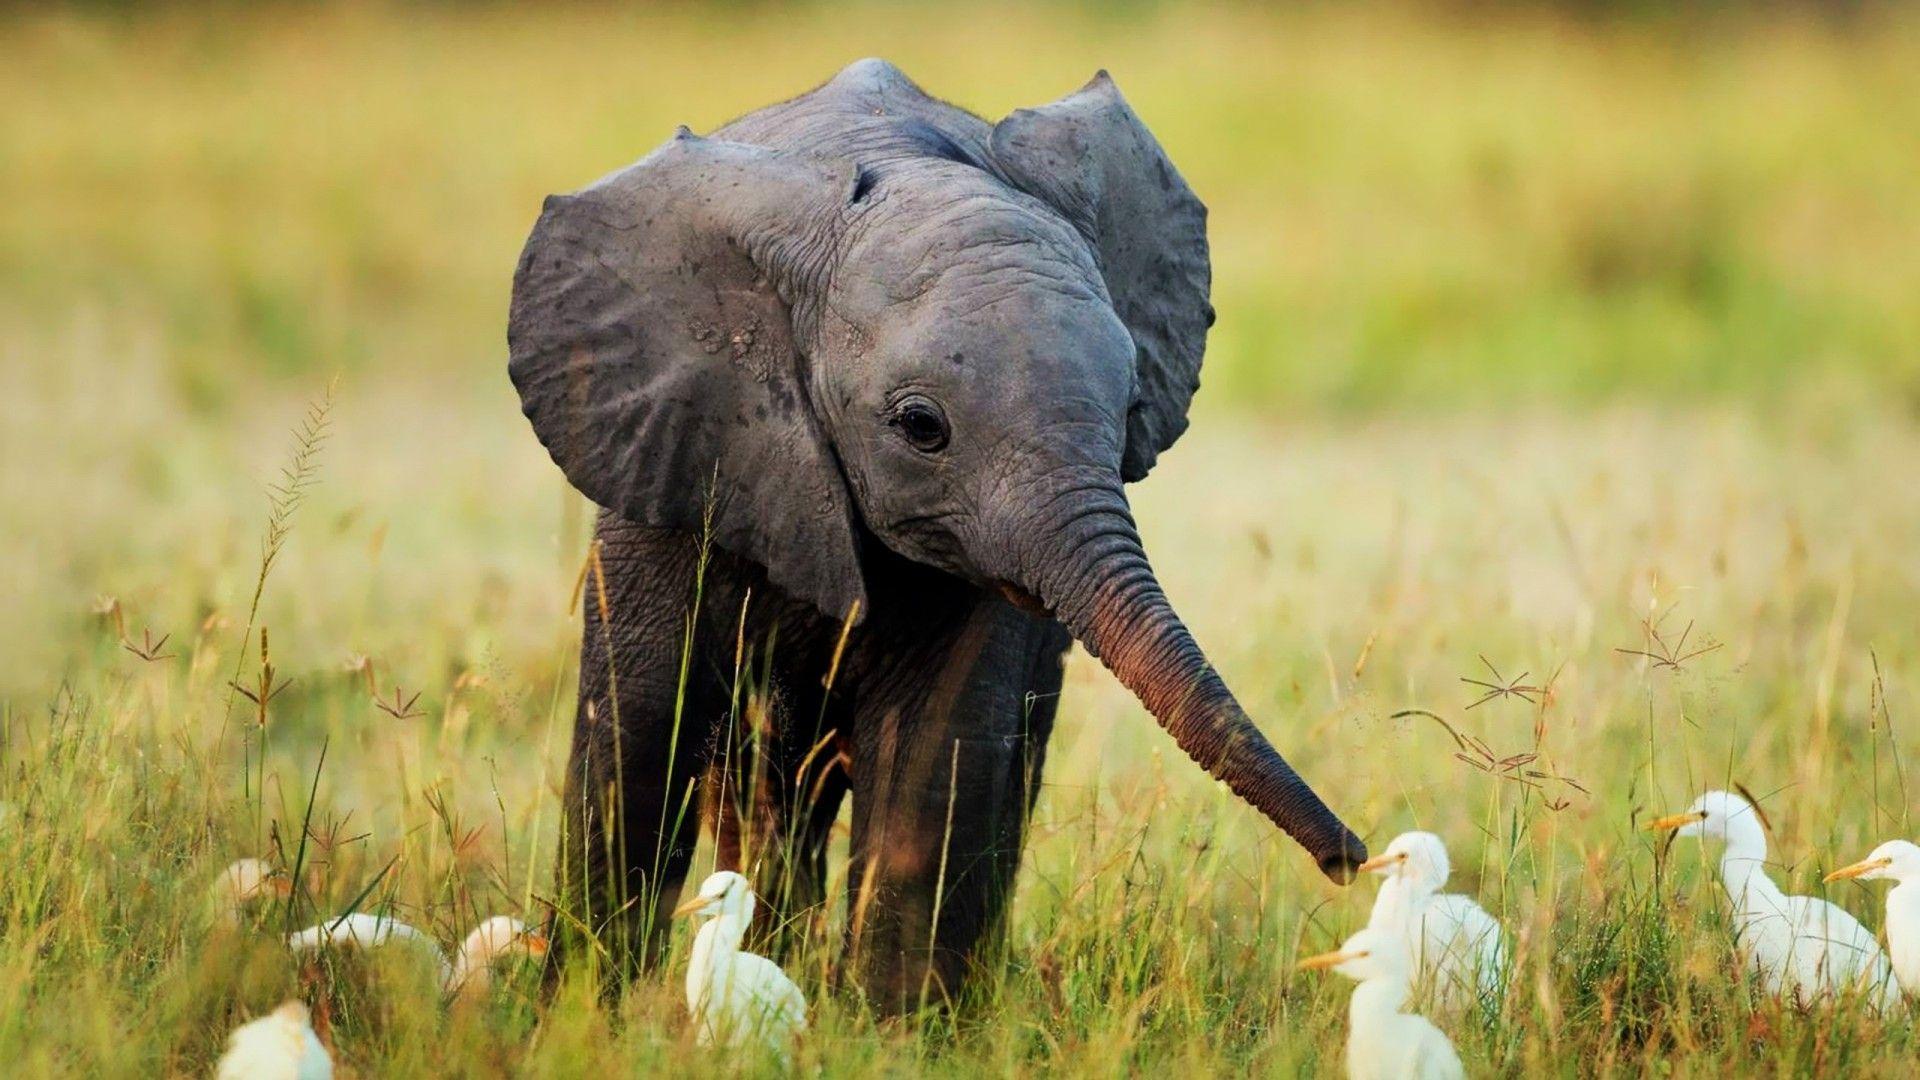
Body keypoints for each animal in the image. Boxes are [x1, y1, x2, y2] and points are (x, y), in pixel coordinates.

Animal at [507, 58, 1365, 1011]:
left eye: (1132, 409)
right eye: (922, 427)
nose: (1350, 861)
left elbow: (937, 753)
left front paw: (894, 1029)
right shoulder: (672, 450)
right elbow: (637, 736)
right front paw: (579, 1017)